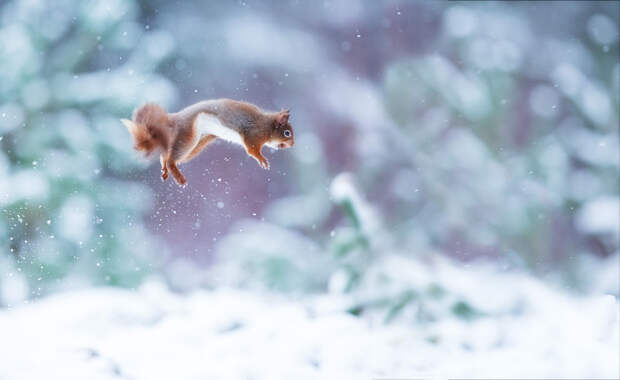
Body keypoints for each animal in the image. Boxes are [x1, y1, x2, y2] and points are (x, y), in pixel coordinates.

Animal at [123, 98, 296, 186]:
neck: (267, 126)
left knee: (165, 155)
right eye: (287, 133)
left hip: (200, 141)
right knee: (172, 159)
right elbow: (252, 150)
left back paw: (164, 169)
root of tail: (176, 118)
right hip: (189, 136)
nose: (293, 144)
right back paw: (178, 176)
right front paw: (263, 160)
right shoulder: (253, 136)